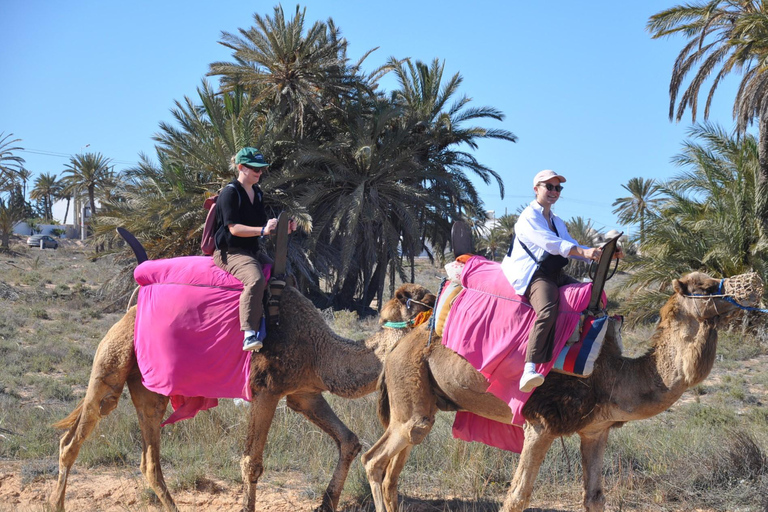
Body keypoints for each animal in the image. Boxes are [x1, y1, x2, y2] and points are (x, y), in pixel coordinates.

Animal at [51, 280, 436, 512]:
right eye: (425, 300)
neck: (320, 351)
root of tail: (126, 313)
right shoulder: (267, 388)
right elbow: (252, 462)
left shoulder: (304, 394)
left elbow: (349, 441)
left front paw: (325, 505)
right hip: (111, 366)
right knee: (73, 439)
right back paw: (56, 502)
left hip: (148, 388)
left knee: (149, 460)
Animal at [364, 272, 764, 512]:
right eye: (707, 287)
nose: (754, 285)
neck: (610, 375)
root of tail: (399, 344)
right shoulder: (541, 424)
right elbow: (517, 496)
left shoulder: (596, 430)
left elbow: (595, 497)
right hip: (411, 389)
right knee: (375, 460)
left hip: (420, 401)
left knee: (393, 468)